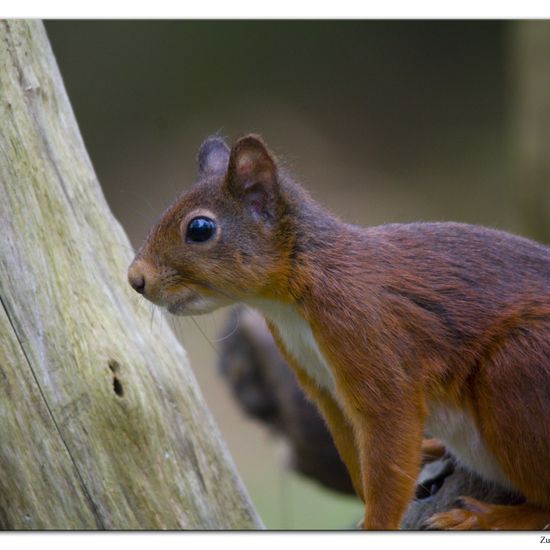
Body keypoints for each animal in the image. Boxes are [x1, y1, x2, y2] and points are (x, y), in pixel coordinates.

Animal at [127, 134, 550, 532]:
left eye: (200, 228)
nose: (135, 279)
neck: (298, 294)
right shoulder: (322, 386)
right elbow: (352, 451)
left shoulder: (368, 335)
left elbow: (388, 436)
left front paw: (377, 525)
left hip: (517, 373)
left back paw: (487, 516)